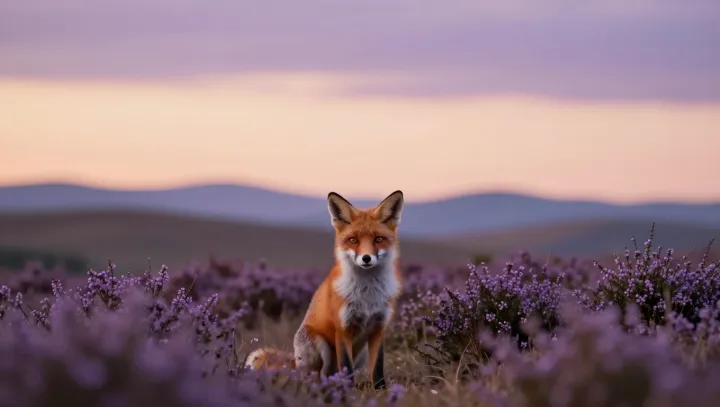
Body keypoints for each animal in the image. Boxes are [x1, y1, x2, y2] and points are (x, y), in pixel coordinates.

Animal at [244, 190, 404, 389]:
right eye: (353, 240)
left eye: (378, 239)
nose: (366, 258)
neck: (367, 294)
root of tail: (295, 362)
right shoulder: (343, 329)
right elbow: (346, 368)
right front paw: (347, 391)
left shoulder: (378, 328)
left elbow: (378, 368)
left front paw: (382, 390)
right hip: (321, 346)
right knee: (317, 376)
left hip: (362, 353)